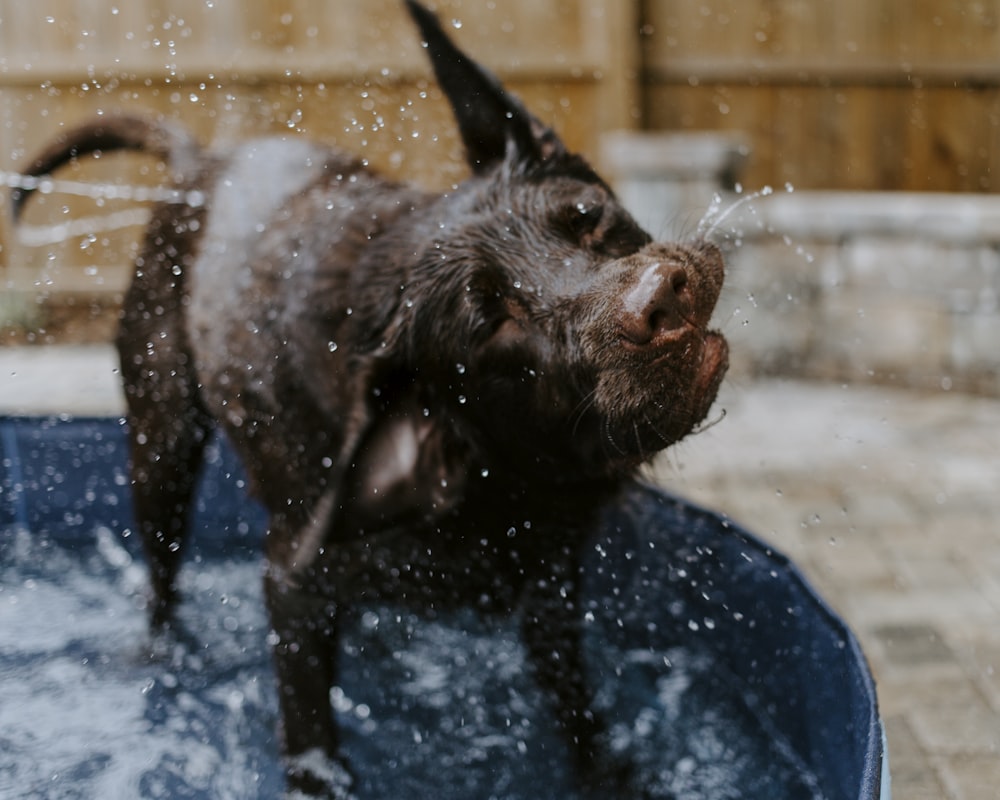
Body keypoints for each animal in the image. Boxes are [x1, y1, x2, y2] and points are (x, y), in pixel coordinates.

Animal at [11, 3, 732, 796]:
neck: (504, 472)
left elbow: (576, 702)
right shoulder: (294, 581)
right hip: (159, 443)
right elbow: (311, 738)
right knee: (161, 585)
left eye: (589, 216)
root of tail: (203, 164)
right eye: (492, 325)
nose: (660, 301)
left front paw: (607, 771)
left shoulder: (550, 581)